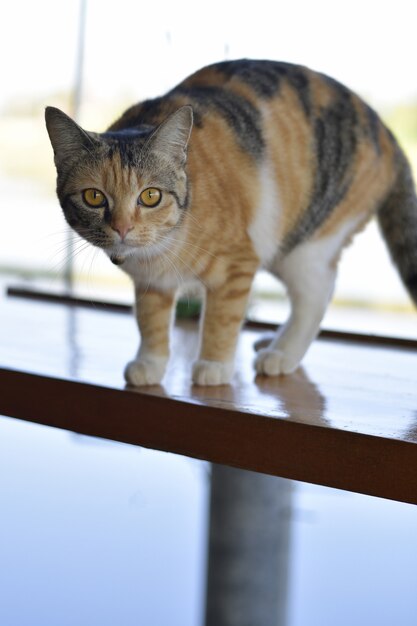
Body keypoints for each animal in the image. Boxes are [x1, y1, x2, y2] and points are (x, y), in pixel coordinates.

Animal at [44, 57, 416, 386]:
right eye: (94, 197)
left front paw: (213, 366)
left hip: (304, 242)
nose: (122, 228)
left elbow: (221, 319)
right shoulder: (152, 282)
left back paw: (281, 354)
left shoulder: (237, 263)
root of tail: (386, 131)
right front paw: (150, 364)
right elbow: (151, 320)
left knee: (317, 294)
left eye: (150, 196)